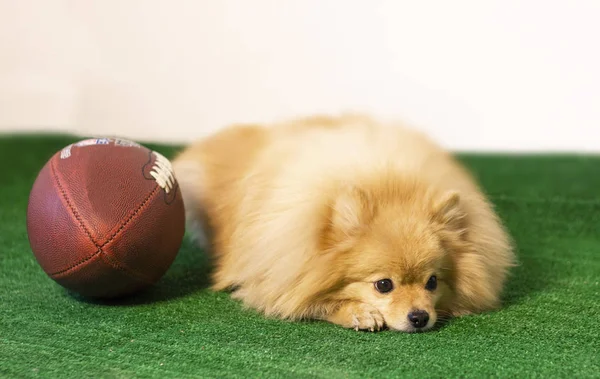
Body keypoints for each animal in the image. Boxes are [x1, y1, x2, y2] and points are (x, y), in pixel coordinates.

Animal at [171, 115, 512, 332]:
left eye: (432, 282)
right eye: (384, 285)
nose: (419, 317)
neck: (388, 184)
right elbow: (310, 302)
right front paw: (358, 313)